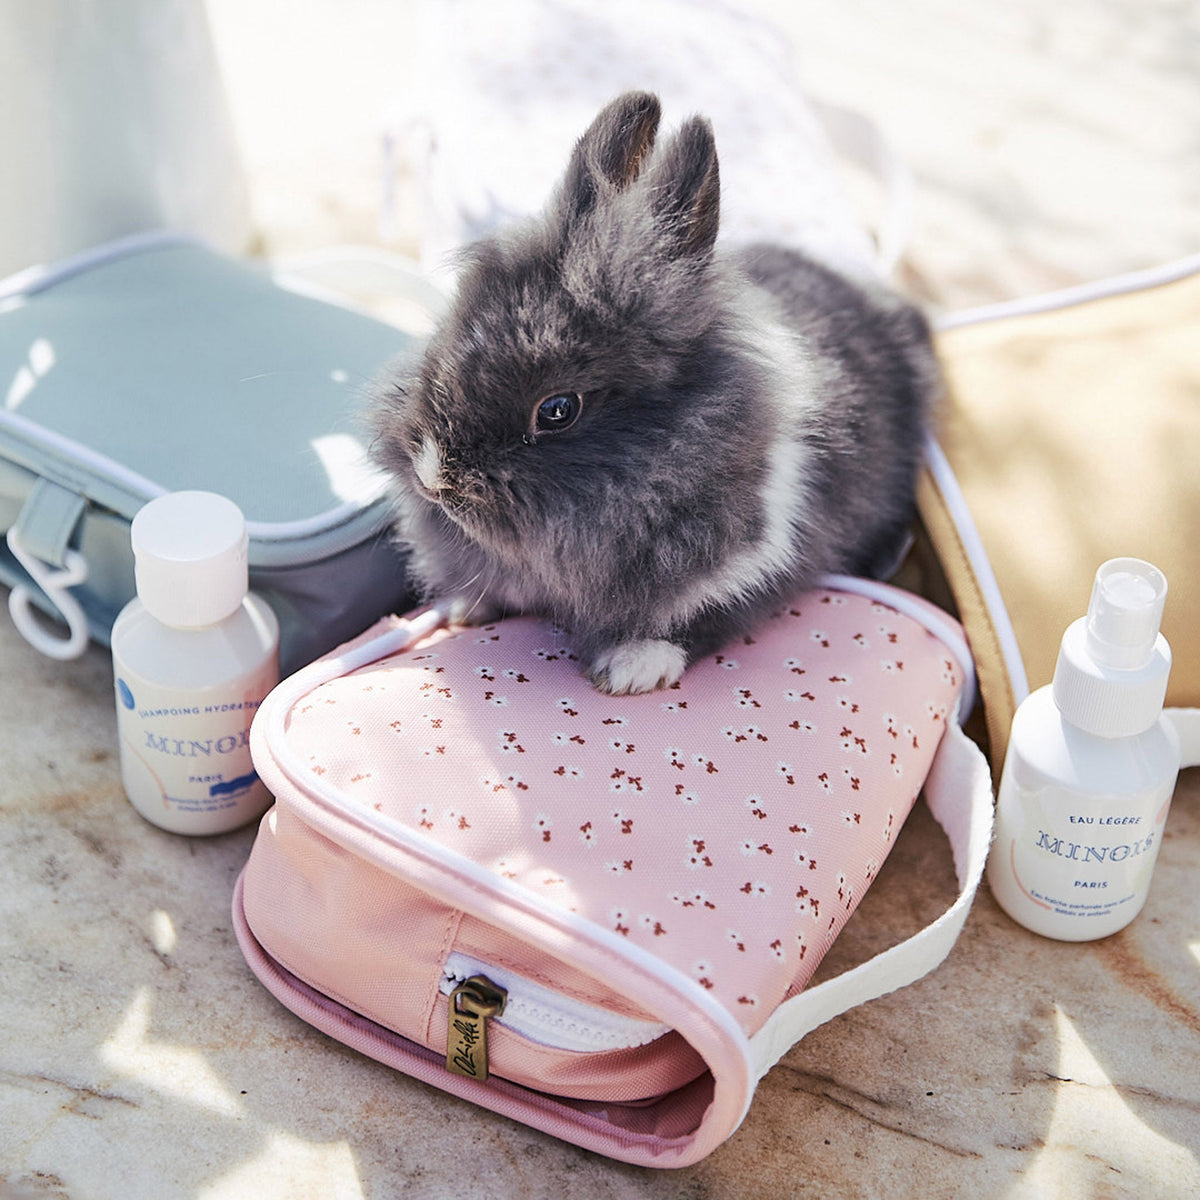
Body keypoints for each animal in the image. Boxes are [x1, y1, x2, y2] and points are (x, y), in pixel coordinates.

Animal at [369, 91, 940, 696]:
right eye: (444, 339)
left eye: (557, 411)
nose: (433, 478)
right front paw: (461, 608)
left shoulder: (754, 567)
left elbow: (699, 619)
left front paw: (629, 670)